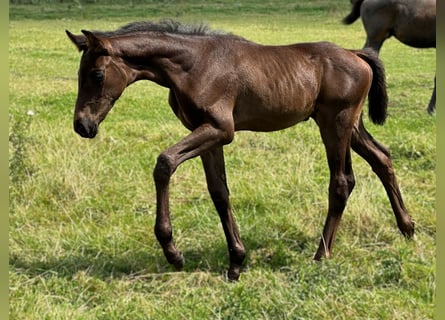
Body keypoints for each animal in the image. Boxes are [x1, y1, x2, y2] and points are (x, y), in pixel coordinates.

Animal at [66, 20, 412, 280]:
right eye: (80, 74)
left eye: (97, 74)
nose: (82, 125)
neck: (193, 65)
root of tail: (356, 54)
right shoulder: (208, 134)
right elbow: (219, 192)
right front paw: (236, 261)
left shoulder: (220, 130)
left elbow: (164, 163)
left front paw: (173, 253)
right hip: (350, 126)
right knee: (382, 159)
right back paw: (408, 229)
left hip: (335, 123)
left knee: (341, 182)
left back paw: (321, 253)